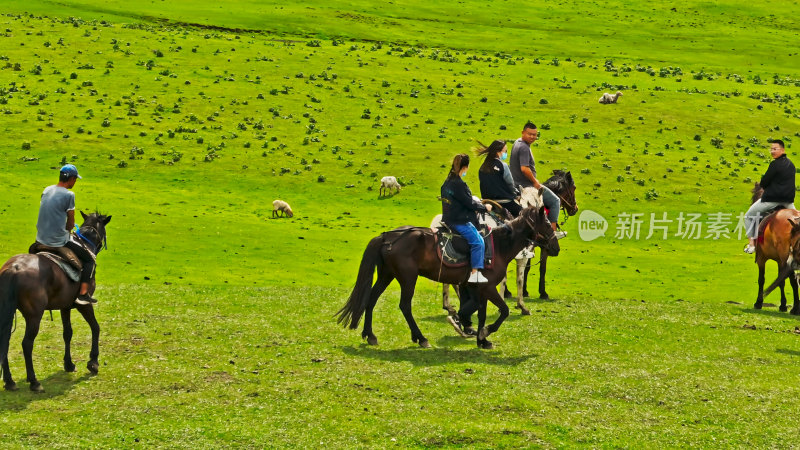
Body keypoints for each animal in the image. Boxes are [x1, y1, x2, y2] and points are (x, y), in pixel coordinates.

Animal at [0, 211, 111, 390]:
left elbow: (68, 333)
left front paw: (69, 364)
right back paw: (34, 381)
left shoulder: (65, 306)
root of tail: (13, 269)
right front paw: (93, 362)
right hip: (34, 316)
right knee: (27, 344)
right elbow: (95, 327)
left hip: (6, 311)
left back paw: (10, 381)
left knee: (5, 339)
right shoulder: (84, 304)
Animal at [336, 206, 556, 350]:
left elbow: (480, 312)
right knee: (405, 306)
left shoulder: (479, 289)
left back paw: (370, 335)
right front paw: (483, 332)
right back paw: (421, 338)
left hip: (387, 274)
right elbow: (503, 311)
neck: (501, 245)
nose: (555, 247)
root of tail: (387, 236)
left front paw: (480, 338)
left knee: (372, 299)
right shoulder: (488, 287)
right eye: (546, 224)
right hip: (408, 278)